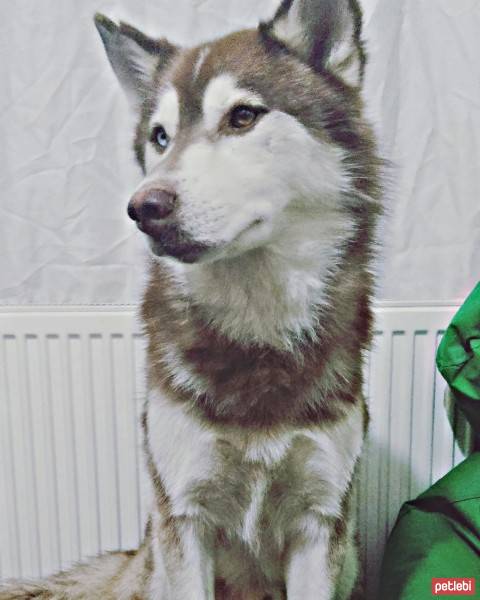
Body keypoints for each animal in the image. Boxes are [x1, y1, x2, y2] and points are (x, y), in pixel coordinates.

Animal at [0, 0, 382, 596]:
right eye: (160, 136)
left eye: (243, 117)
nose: (143, 208)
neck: (256, 327)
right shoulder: (184, 515)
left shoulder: (320, 521)